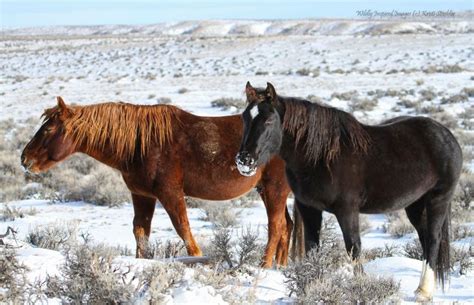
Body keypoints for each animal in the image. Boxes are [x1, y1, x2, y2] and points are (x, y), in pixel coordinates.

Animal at [22, 97, 292, 266]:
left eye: (48, 130)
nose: (25, 159)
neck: (140, 144)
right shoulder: (142, 195)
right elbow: (140, 232)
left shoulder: (170, 193)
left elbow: (184, 230)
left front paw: (198, 259)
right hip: (269, 190)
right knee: (286, 227)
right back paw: (281, 267)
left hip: (274, 189)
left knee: (276, 227)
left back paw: (265, 266)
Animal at [237, 82, 462, 300]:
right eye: (245, 118)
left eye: (268, 120)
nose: (243, 160)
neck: (320, 158)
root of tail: (447, 135)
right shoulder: (309, 209)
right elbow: (312, 249)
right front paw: (311, 289)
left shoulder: (347, 210)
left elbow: (353, 248)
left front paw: (361, 288)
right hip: (415, 205)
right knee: (424, 239)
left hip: (438, 200)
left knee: (432, 240)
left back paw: (424, 292)